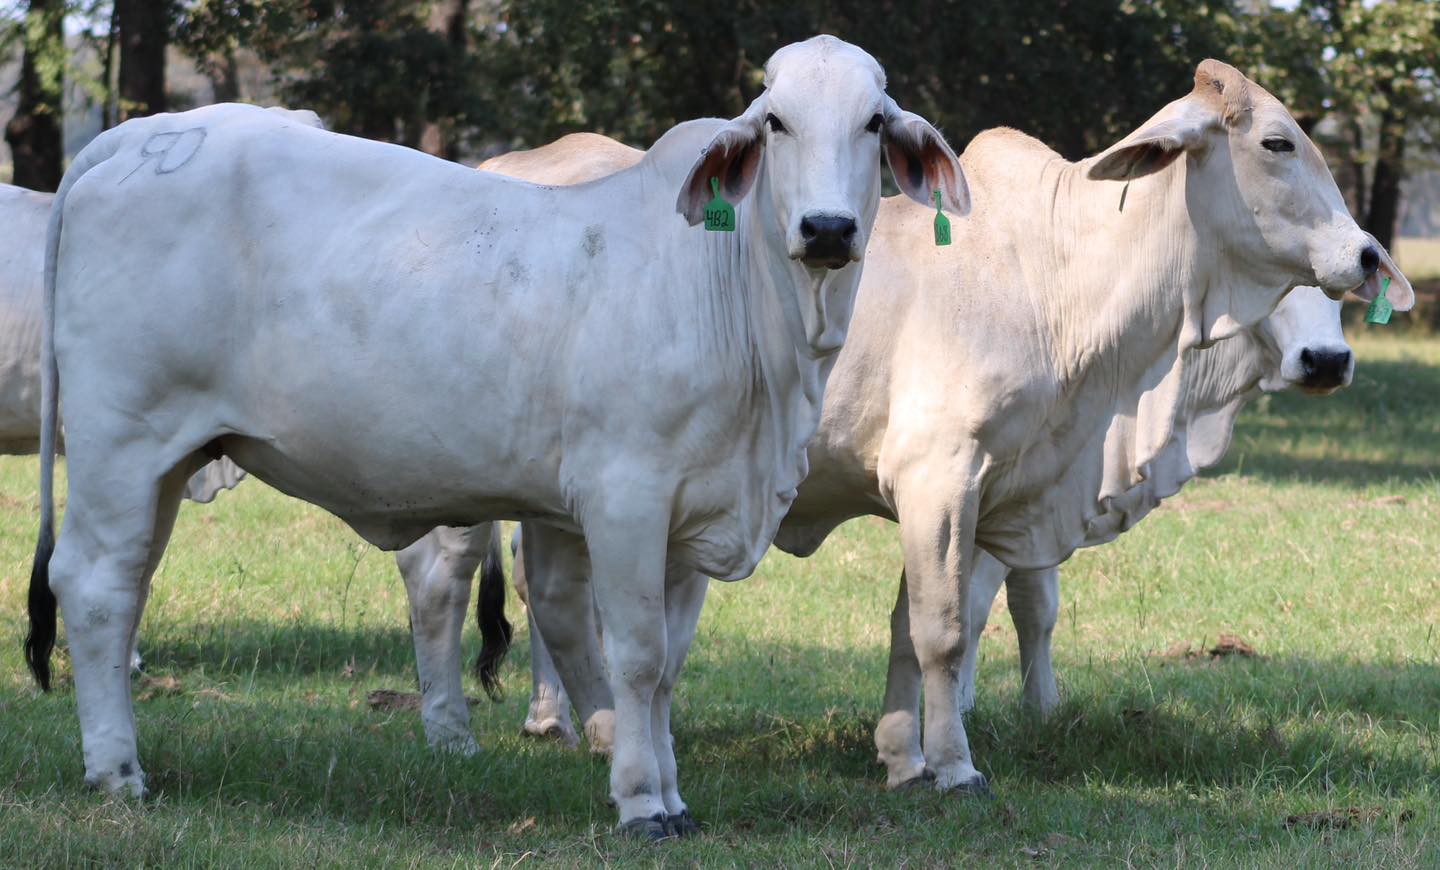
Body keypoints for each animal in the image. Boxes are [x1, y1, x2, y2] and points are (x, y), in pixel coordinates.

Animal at [22, 35, 967, 835]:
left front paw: (671, 791)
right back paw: (117, 772)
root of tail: (135, 137)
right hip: (120, 441)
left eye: (873, 121)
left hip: (165, 462)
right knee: (95, 585)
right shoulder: (627, 499)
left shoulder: (693, 520)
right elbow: (634, 657)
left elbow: (669, 667)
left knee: (128, 583)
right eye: (776, 121)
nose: (828, 229)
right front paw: (641, 802)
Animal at [466, 59, 1411, 795]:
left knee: (555, 597)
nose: (1367, 259)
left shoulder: (991, 489)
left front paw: (903, 754)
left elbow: (925, 622)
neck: (1054, 271)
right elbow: (949, 629)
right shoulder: (943, 477)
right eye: (1277, 143)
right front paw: (955, 762)